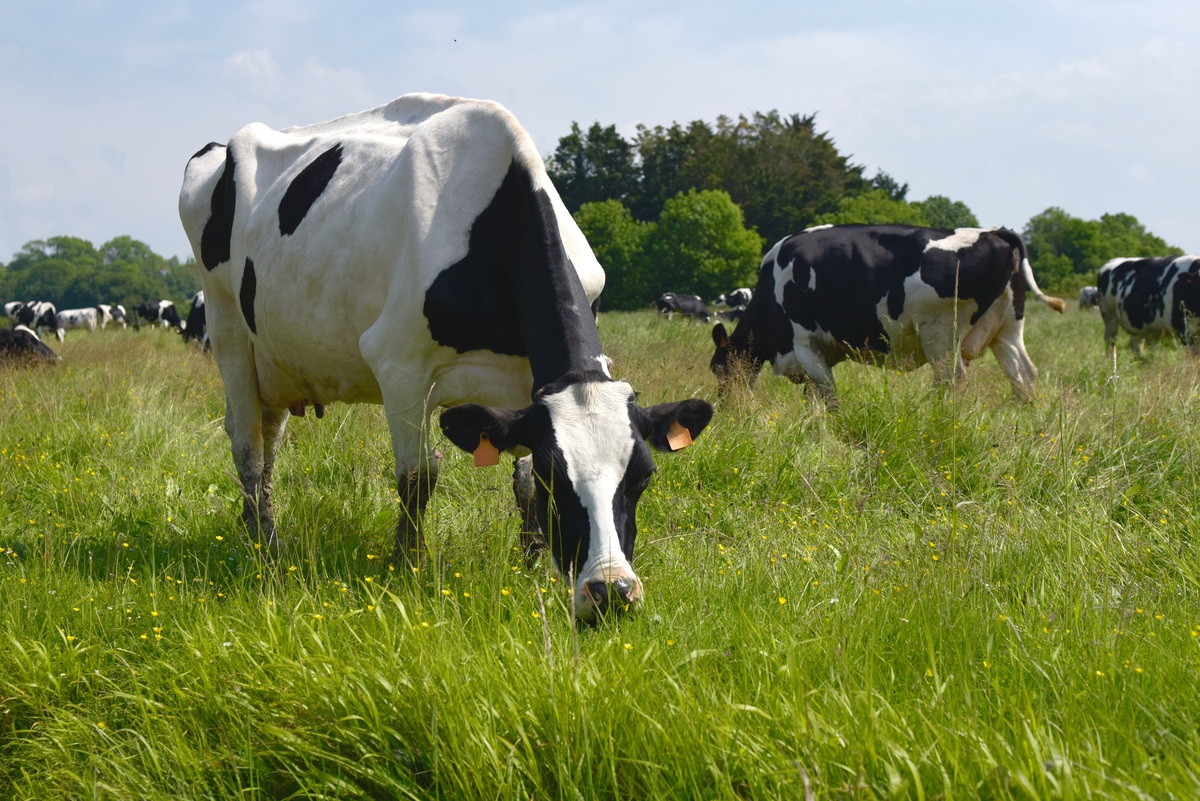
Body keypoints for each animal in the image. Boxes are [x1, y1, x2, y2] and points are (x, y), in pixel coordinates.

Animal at [180, 90, 710, 623]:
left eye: (643, 477)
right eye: (556, 477)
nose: (611, 591)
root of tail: (219, 147)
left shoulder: (526, 385)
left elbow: (519, 485)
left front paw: (533, 562)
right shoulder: (397, 364)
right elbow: (417, 477)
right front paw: (407, 564)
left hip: (277, 362)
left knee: (267, 441)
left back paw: (257, 527)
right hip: (226, 329)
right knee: (247, 447)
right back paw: (265, 548)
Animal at [705, 224, 1065, 400]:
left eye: (718, 369)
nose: (726, 407)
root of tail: (996, 232)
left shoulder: (805, 344)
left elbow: (828, 397)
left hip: (939, 334)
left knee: (951, 380)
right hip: (1007, 330)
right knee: (1024, 377)